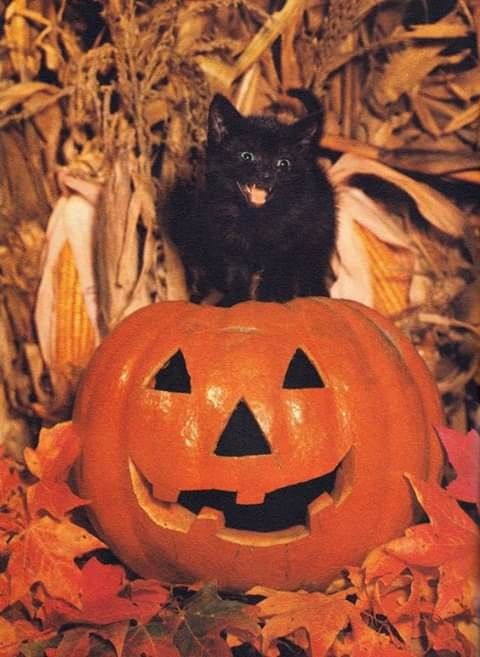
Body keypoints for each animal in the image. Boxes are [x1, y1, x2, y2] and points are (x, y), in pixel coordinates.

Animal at [169, 94, 338, 304]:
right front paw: (234, 300)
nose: (266, 175)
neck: (256, 218)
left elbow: (279, 269)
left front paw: (272, 298)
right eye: (246, 156)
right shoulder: (230, 239)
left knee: (312, 267)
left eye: (283, 163)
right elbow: (236, 272)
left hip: (320, 234)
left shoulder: (291, 240)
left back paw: (315, 293)